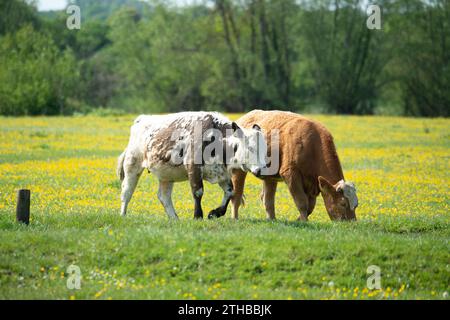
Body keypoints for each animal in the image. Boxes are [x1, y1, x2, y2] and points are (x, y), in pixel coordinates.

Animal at [117, 112, 268, 220]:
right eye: (251, 148)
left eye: (265, 148)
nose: (262, 169)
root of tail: (142, 119)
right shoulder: (193, 168)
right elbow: (198, 192)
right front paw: (198, 216)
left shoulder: (221, 173)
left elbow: (230, 192)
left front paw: (215, 213)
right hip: (132, 164)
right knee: (127, 191)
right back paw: (123, 215)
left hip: (166, 175)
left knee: (164, 197)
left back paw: (174, 219)